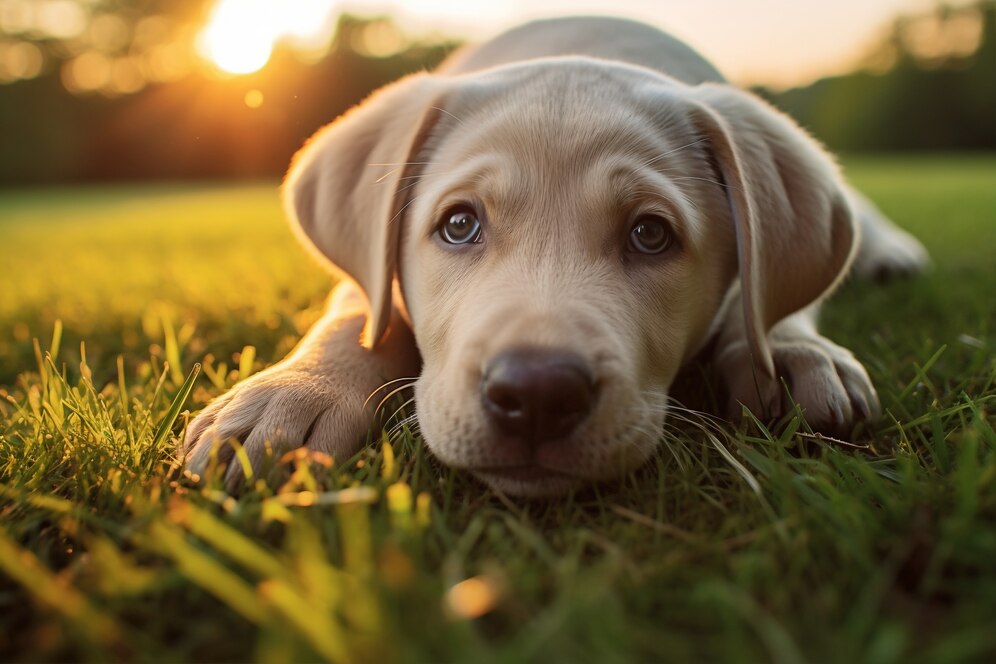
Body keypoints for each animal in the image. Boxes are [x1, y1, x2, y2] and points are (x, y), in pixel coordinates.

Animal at [183, 15, 928, 496]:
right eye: (459, 225)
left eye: (650, 234)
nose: (537, 395)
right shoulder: (368, 280)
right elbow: (353, 314)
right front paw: (289, 396)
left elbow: (767, 300)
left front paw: (797, 353)